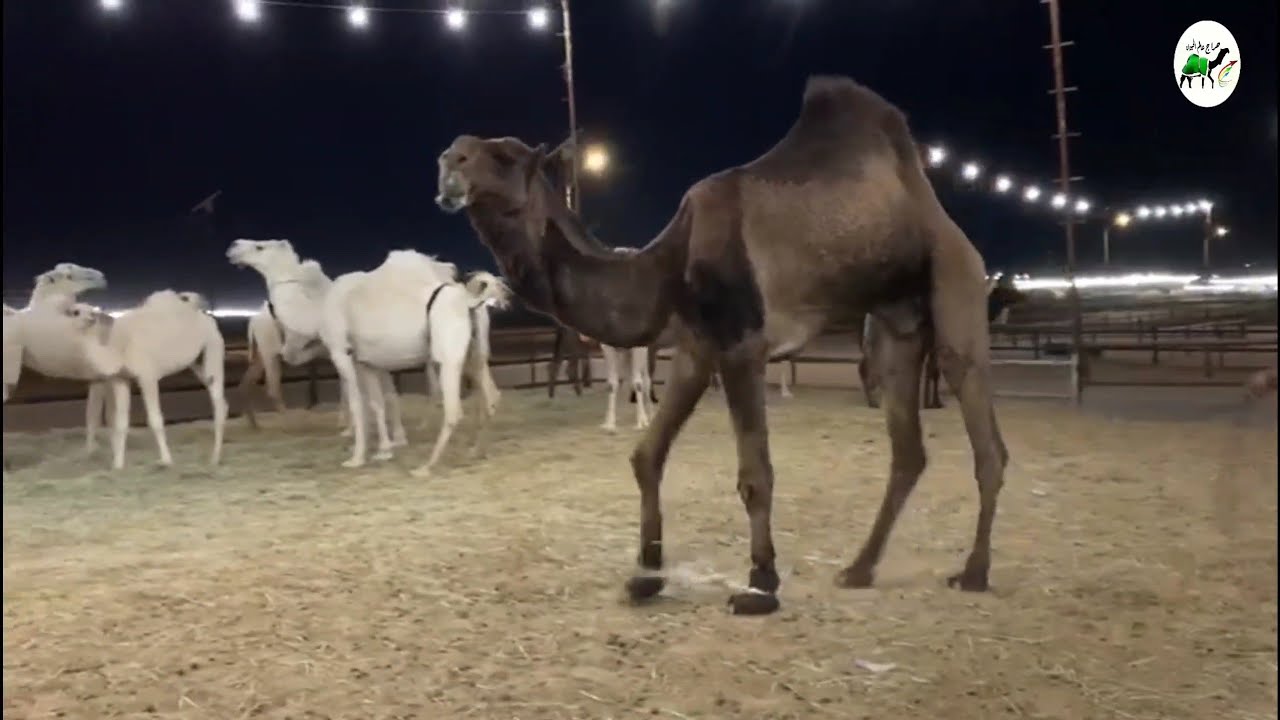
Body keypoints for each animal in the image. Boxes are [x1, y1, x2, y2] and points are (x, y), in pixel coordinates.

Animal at [66, 290, 227, 470]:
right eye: (75, 312)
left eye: (92, 311)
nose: (90, 318)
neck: (118, 349)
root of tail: (207, 317)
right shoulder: (120, 380)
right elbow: (121, 423)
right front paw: (118, 466)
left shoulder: (147, 376)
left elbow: (155, 419)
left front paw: (166, 460)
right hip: (196, 362)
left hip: (213, 347)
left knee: (218, 400)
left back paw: (215, 458)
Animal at [318, 249, 509, 473]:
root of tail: (469, 302)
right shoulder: (366, 362)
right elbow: (377, 403)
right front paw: (384, 450)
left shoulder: (340, 352)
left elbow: (357, 404)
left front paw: (356, 458)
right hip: (475, 356)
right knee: (492, 397)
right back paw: (477, 451)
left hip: (449, 360)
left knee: (454, 410)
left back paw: (425, 467)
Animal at [435, 76, 1008, 615]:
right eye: (459, 150)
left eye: (504, 156)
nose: (447, 163)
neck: (668, 266)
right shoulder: (695, 349)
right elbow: (646, 456)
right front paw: (648, 568)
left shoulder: (740, 345)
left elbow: (755, 475)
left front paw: (760, 583)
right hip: (893, 323)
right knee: (908, 449)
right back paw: (859, 569)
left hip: (955, 281)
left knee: (984, 434)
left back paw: (975, 572)